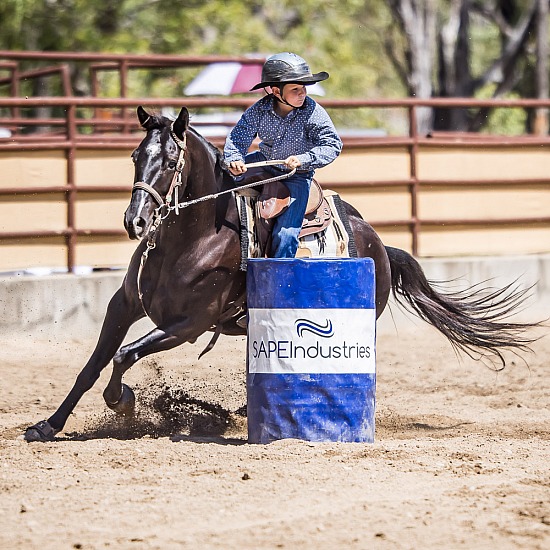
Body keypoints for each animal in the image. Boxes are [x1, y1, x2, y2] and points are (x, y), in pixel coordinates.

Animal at [23, 105, 540, 444]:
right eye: (134, 155)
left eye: (170, 161)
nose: (136, 221)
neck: (190, 238)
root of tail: (380, 244)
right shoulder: (124, 305)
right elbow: (93, 364)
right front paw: (48, 425)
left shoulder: (188, 325)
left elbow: (124, 356)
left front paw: (124, 402)